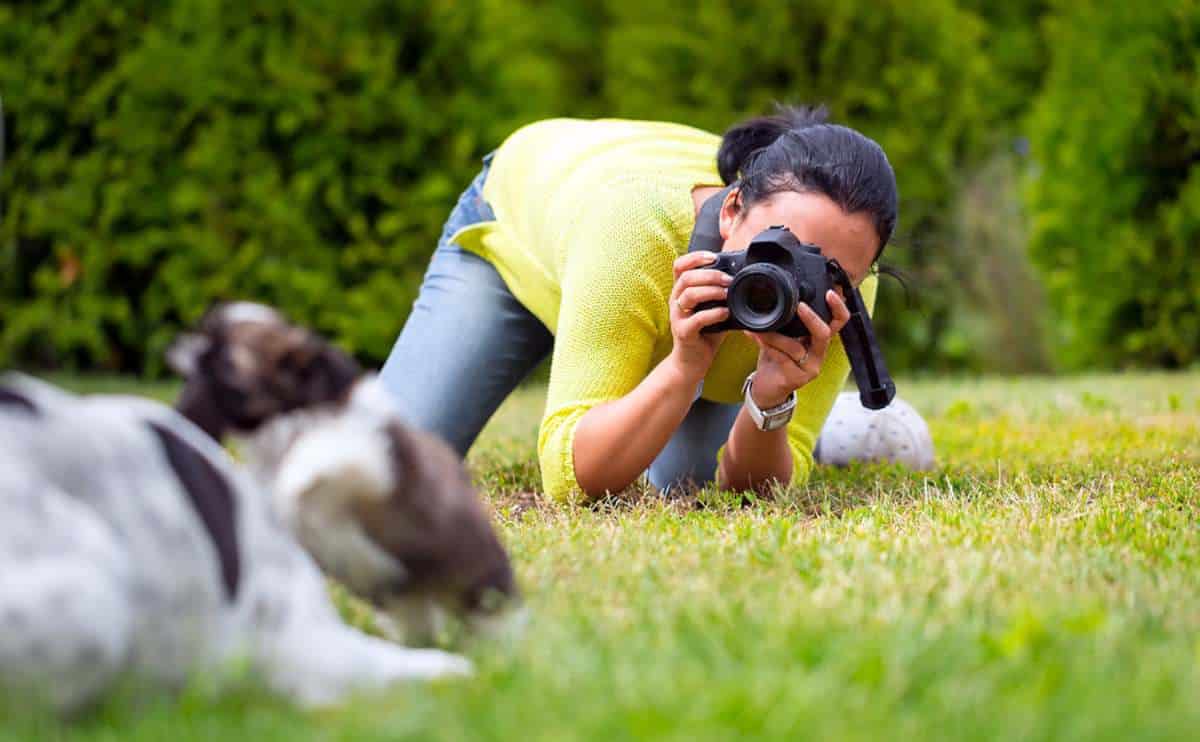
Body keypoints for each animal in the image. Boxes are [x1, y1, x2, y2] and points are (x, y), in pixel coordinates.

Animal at [165, 300, 520, 643]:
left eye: (224, 357)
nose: (179, 345)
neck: (286, 416)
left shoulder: (367, 456)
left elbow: (322, 452)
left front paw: (296, 478)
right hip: (410, 600)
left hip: (479, 584)